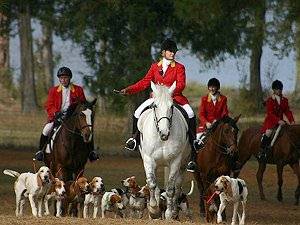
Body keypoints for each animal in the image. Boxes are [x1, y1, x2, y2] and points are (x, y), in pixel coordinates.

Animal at [137, 81, 189, 219]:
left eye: (171, 106)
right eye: (155, 106)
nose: (164, 133)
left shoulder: (175, 161)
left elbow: (170, 188)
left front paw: (169, 213)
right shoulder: (148, 160)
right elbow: (152, 184)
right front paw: (153, 209)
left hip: (182, 164)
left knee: (177, 186)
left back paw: (174, 211)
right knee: (155, 186)